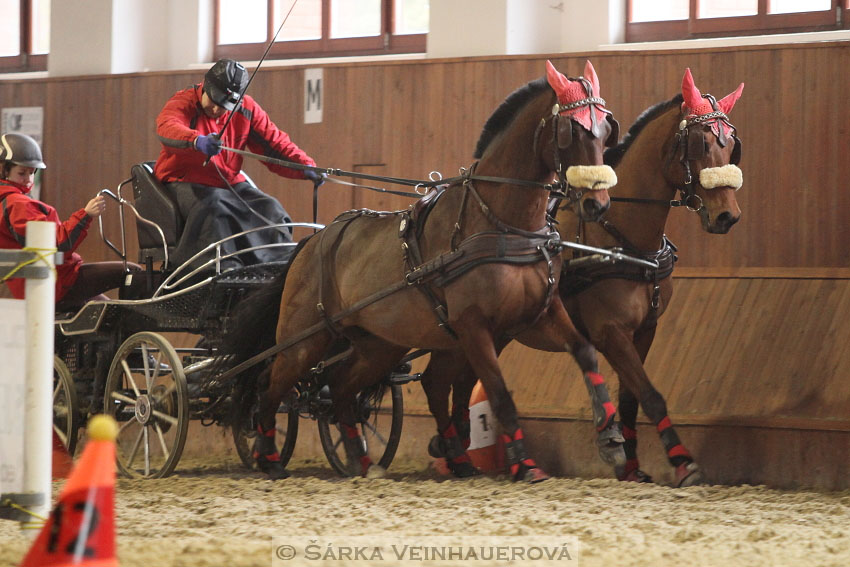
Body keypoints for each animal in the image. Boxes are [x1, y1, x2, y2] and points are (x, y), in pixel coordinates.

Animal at [224, 60, 616, 482]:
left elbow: (585, 352)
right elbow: (498, 393)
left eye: (606, 129)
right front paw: (525, 464)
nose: (596, 203)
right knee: (270, 383)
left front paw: (610, 436)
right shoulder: (474, 326)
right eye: (571, 130)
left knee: (341, 387)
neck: (501, 223)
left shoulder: (535, 315)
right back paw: (268, 456)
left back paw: (362, 460)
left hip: (379, 344)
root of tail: (311, 243)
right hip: (304, 339)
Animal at [424, 69, 744, 486]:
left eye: (732, 145)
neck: (621, 238)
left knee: (457, 383)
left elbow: (631, 398)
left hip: (491, 331)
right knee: (438, 380)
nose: (727, 215)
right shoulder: (611, 332)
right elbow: (652, 394)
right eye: (700, 143)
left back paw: (459, 449)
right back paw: (455, 451)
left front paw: (632, 466)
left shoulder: (645, 331)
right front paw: (681, 460)